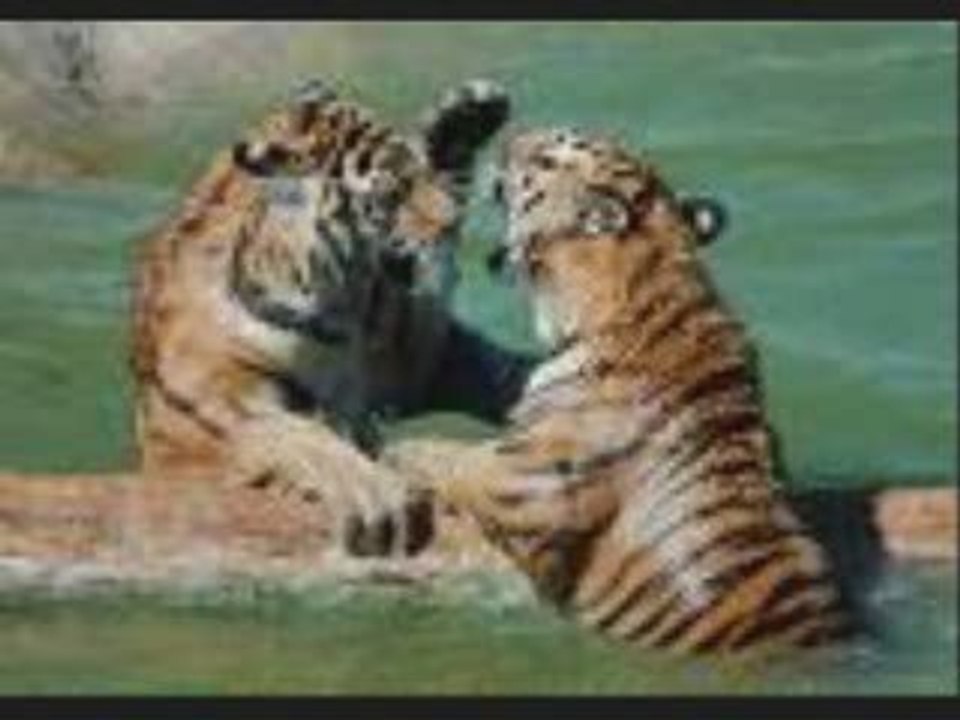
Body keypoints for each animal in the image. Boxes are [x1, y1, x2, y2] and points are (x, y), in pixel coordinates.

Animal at [129, 77, 527, 557]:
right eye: (392, 192)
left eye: (417, 175)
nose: (450, 224)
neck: (342, 308)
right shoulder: (225, 395)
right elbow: (304, 435)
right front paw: (374, 496)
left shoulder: (420, 352)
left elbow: (509, 371)